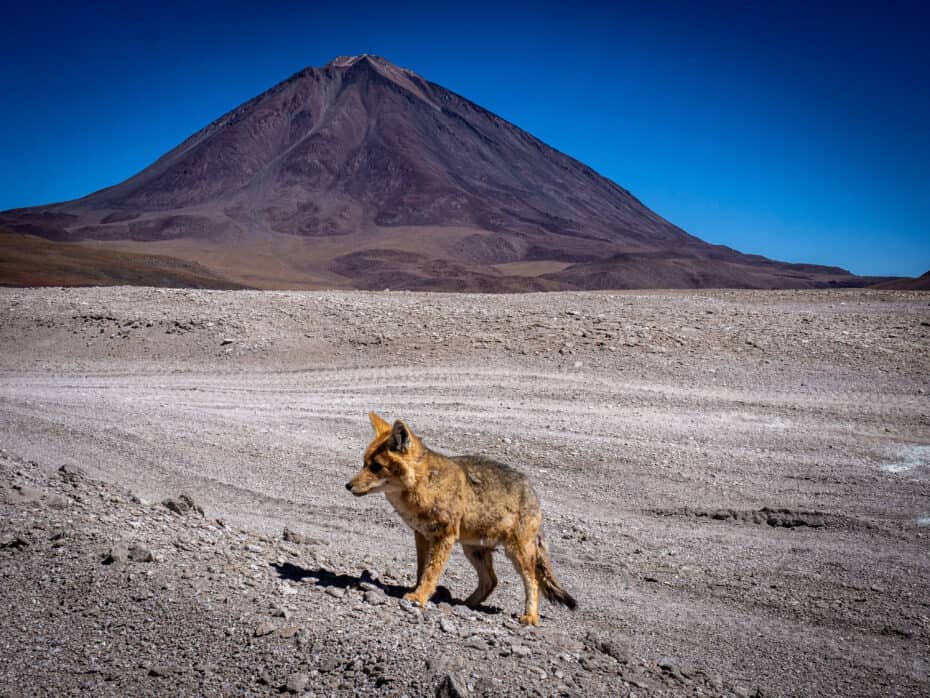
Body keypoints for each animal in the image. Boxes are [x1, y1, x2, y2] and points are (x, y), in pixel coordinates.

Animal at [345, 412, 576, 625]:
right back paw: (464, 604)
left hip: (516, 553)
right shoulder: (421, 535)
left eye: (376, 466)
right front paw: (419, 591)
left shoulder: (444, 538)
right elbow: (421, 570)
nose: (347, 485)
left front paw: (419, 597)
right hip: (473, 550)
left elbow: (431, 572)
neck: (425, 487)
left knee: (532, 581)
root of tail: (532, 490)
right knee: (491, 581)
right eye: (364, 463)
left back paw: (530, 616)